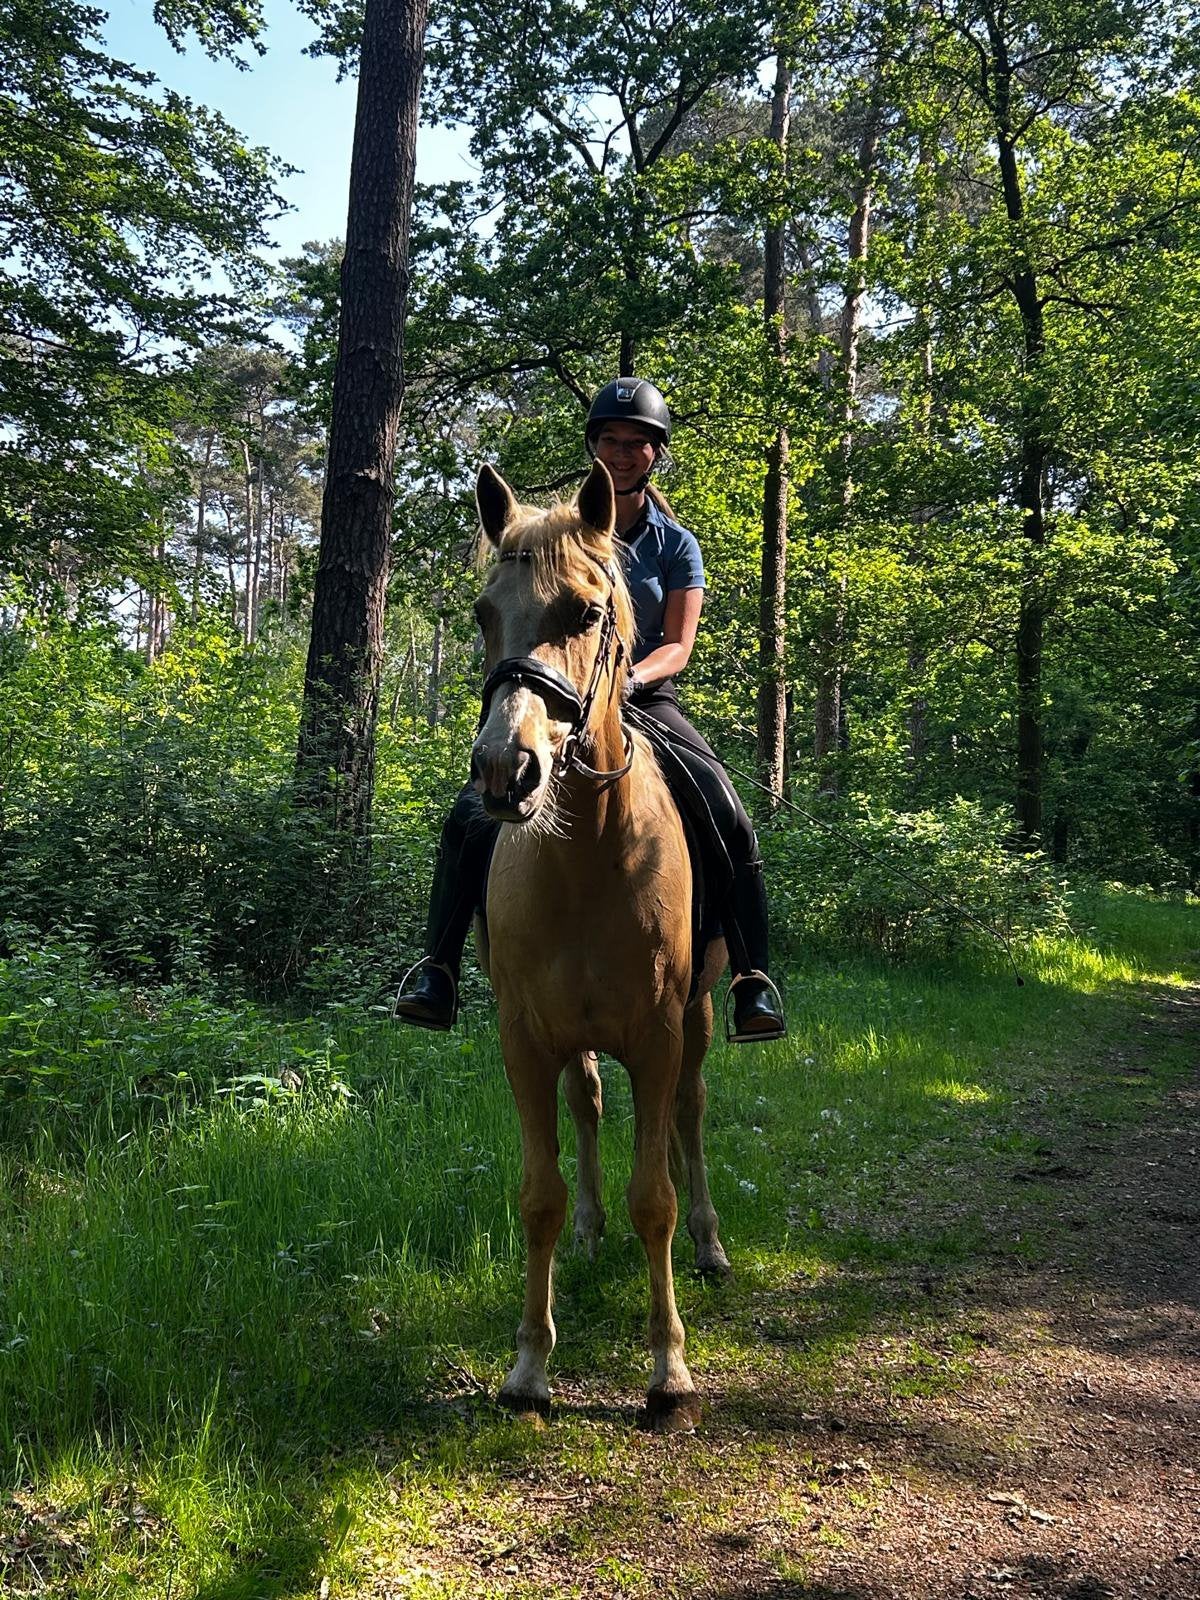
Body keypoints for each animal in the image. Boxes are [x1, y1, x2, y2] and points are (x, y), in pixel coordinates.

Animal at [468, 457, 730, 1433]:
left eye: (586, 612)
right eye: (484, 613)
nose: (505, 772)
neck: (586, 855)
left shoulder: (658, 1036)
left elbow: (654, 1197)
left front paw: (668, 1371)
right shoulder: (522, 1038)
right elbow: (538, 1195)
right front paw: (529, 1366)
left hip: (700, 1017)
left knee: (691, 1114)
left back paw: (711, 1245)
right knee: (586, 1105)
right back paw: (588, 1231)